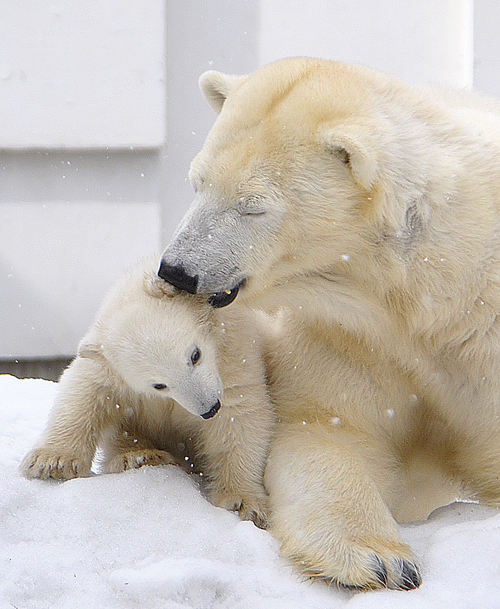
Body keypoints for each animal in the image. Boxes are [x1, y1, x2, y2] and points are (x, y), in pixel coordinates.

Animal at [160, 57, 500, 588]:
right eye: (198, 182)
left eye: (253, 206)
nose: (176, 270)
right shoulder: (349, 334)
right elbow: (327, 429)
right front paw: (380, 558)